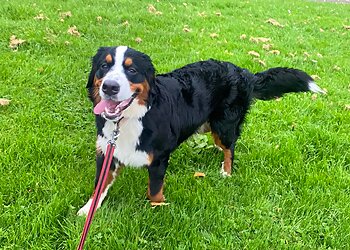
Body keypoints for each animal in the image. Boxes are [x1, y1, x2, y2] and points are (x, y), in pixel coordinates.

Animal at [78, 45, 324, 215]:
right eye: (104, 66)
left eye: (131, 69)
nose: (110, 87)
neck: (127, 121)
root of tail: (243, 72)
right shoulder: (107, 152)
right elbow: (99, 186)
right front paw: (88, 210)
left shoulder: (159, 159)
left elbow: (154, 190)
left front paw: (158, 209)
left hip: (223, 126)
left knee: (230, 148)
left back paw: (226, 171)